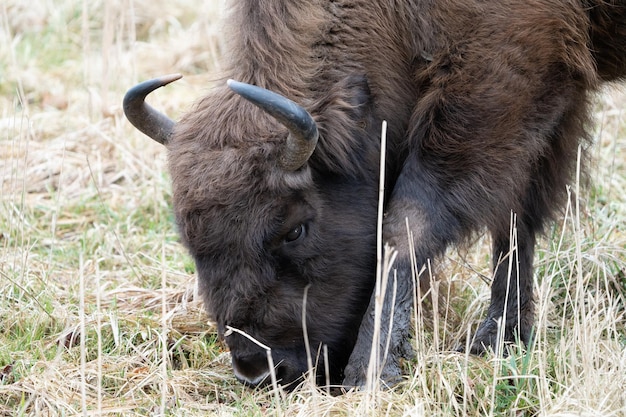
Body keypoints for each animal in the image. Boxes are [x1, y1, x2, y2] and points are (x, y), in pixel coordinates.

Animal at [122, 0, 624, 390]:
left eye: (295, 230)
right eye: (188, 238)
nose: (261, 371)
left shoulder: (502, 82)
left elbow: (410, 224)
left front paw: (370, 373)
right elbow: (517, 221)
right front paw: (500, 339)